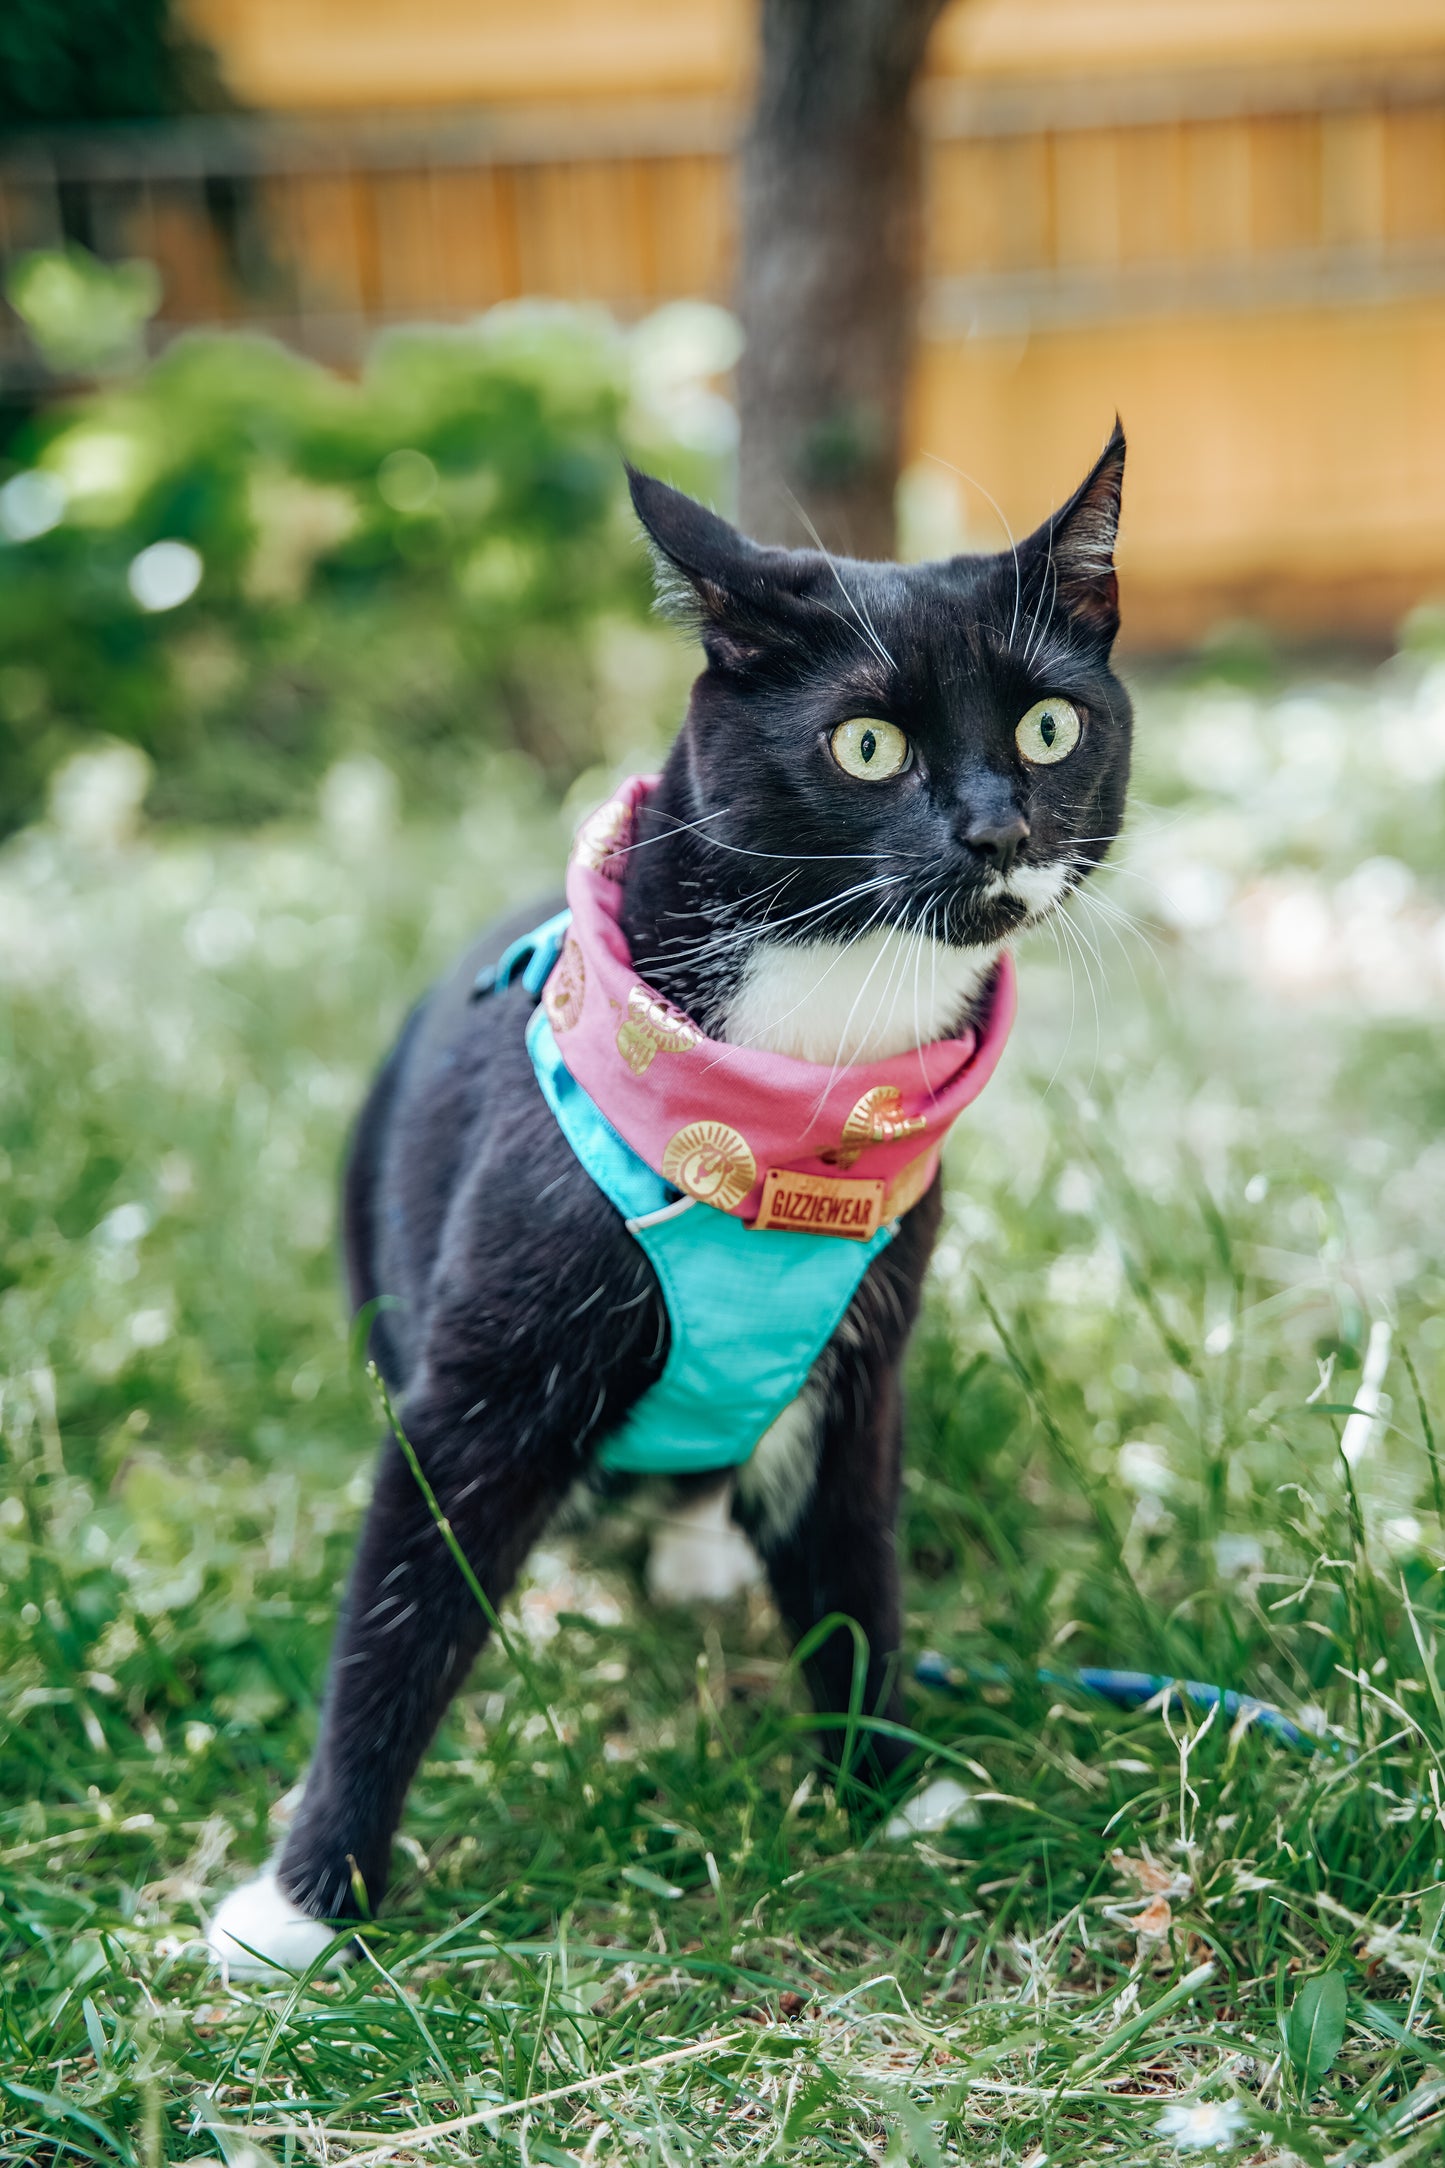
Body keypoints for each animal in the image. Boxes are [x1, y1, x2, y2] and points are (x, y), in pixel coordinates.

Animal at [205, 422, 1126, 1985]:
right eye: (864, 745)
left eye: (1050, 729)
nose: (997, 830)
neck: (786, 1108)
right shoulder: (479, 1385)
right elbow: (399, 1609)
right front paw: (305, 1898)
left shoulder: (865, 1354)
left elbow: (854, 1559)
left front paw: (883, 1782)